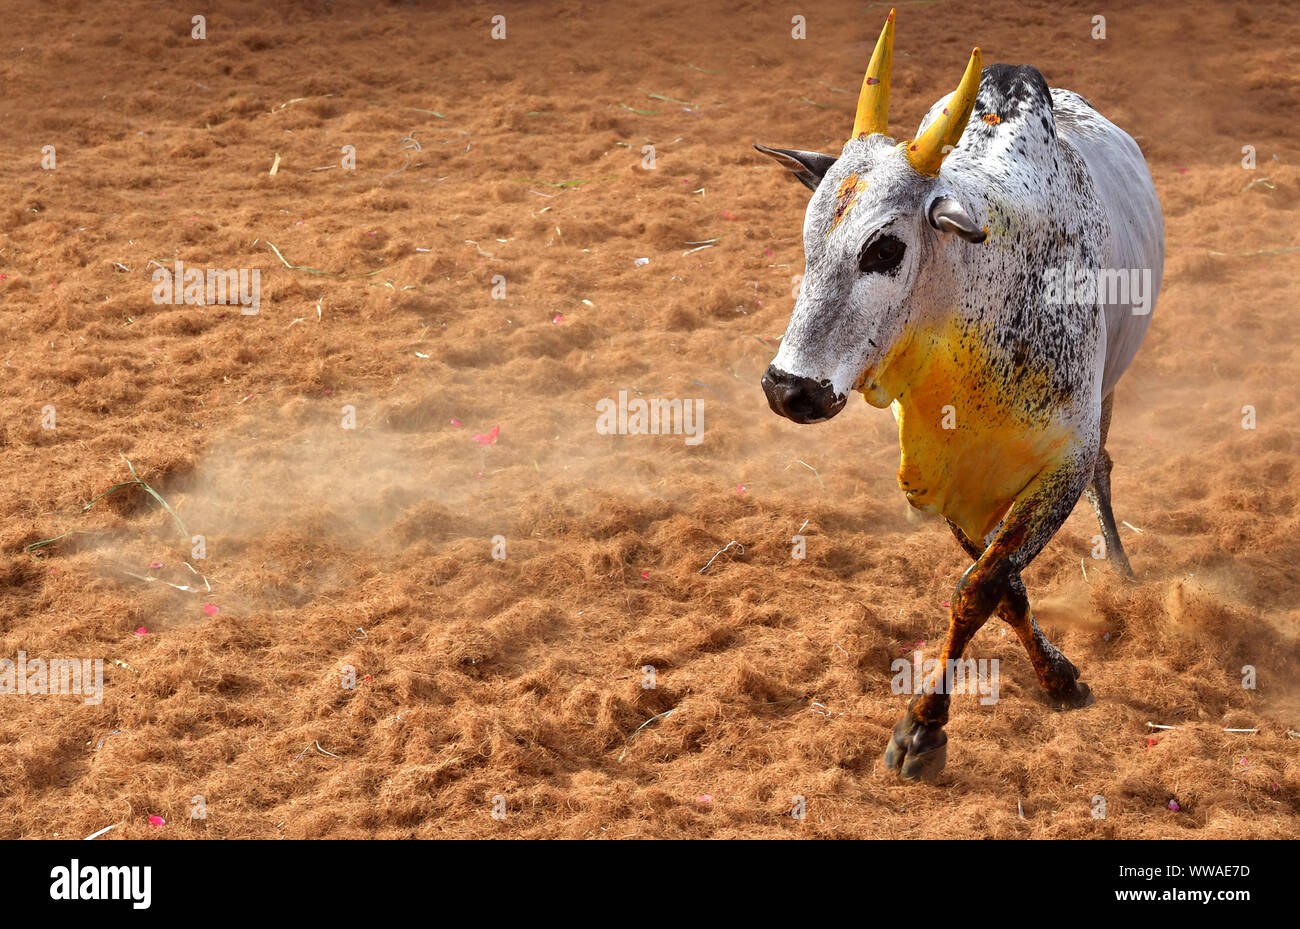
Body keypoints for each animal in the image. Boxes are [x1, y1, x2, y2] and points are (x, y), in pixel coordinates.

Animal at [754, 9, 1164, 781]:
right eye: (806, 240)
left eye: (884, 249)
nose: (788, 388)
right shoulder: (946, 481)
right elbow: (1002, 587)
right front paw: (1060, 676)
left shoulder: (1062, 463)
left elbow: (977, 588)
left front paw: (922, 725)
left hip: (1112, 391)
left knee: (1107, 468)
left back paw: (1122, 567)